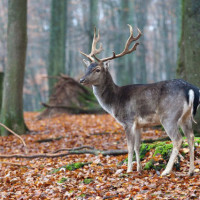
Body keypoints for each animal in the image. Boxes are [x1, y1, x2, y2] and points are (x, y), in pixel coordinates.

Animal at [79, 24, 198, 175]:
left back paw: (166, 171)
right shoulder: (139, 125)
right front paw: (139, 168)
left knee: (178, 139)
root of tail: (191, 88)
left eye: (98, 69)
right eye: (87, 68)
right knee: (191, 137)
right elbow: (137, 146)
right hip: (186, 116)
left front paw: (129, 170)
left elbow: (129, 147)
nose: (82, 80)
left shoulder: (128, 121)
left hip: (169, 116)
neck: (115, 101)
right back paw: (191, 171)